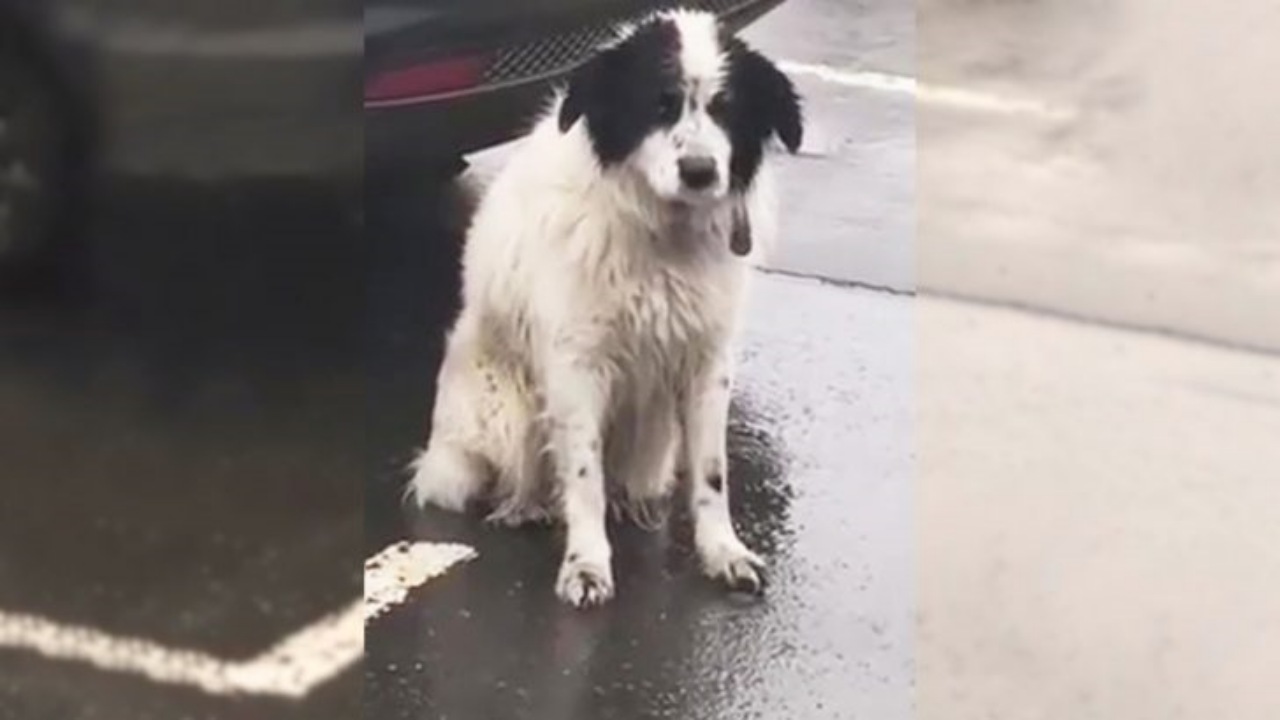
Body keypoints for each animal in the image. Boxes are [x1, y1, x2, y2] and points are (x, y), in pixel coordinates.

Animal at [409, 11, 798, 604]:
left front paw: (722, 552)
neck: (663, 235)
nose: (700, 171)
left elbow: (712, 473)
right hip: (501, 418)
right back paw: (526, 506)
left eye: (727, 109)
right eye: (659, 104)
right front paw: (587, 564)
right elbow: (583, 477)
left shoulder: (708, 362)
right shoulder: (577, 366)